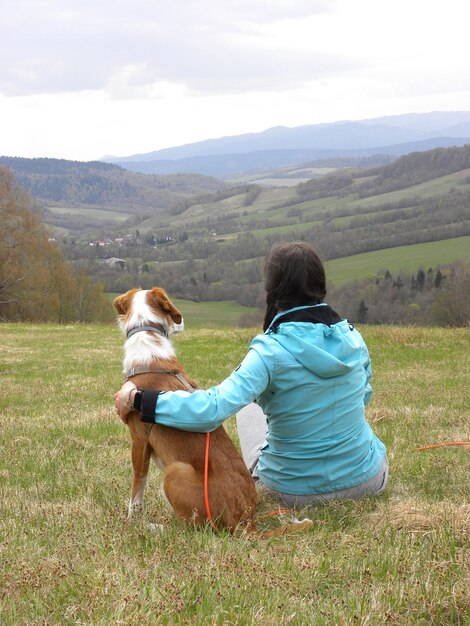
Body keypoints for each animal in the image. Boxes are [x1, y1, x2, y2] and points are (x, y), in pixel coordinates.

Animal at [112, 286, 258, 528]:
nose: (183, 322)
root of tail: (244, 520)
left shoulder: (139, 439)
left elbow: (137, 487)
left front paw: (132, 519)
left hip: (175, 471)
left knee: (188, 527)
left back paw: (155, 526)